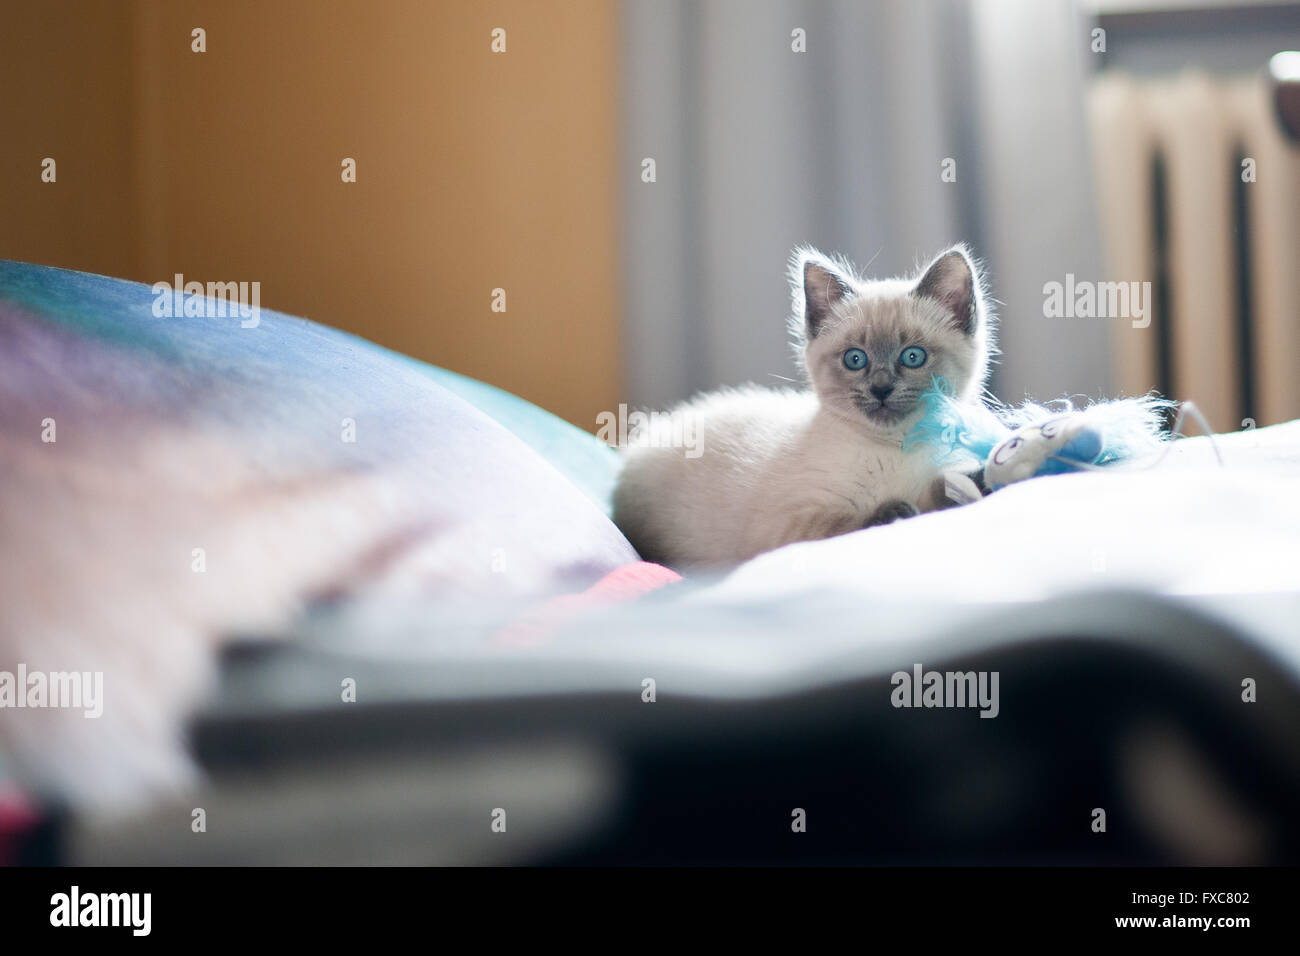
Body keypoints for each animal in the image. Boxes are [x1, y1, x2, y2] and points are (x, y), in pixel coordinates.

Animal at [613, 244, 987, 567]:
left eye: (913, 357)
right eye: (855, 360)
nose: (881, 389)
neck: (897, 448)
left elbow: (944, 490)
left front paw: (976, 481)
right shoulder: (787, 525)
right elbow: (849, 522)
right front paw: (896, 511)